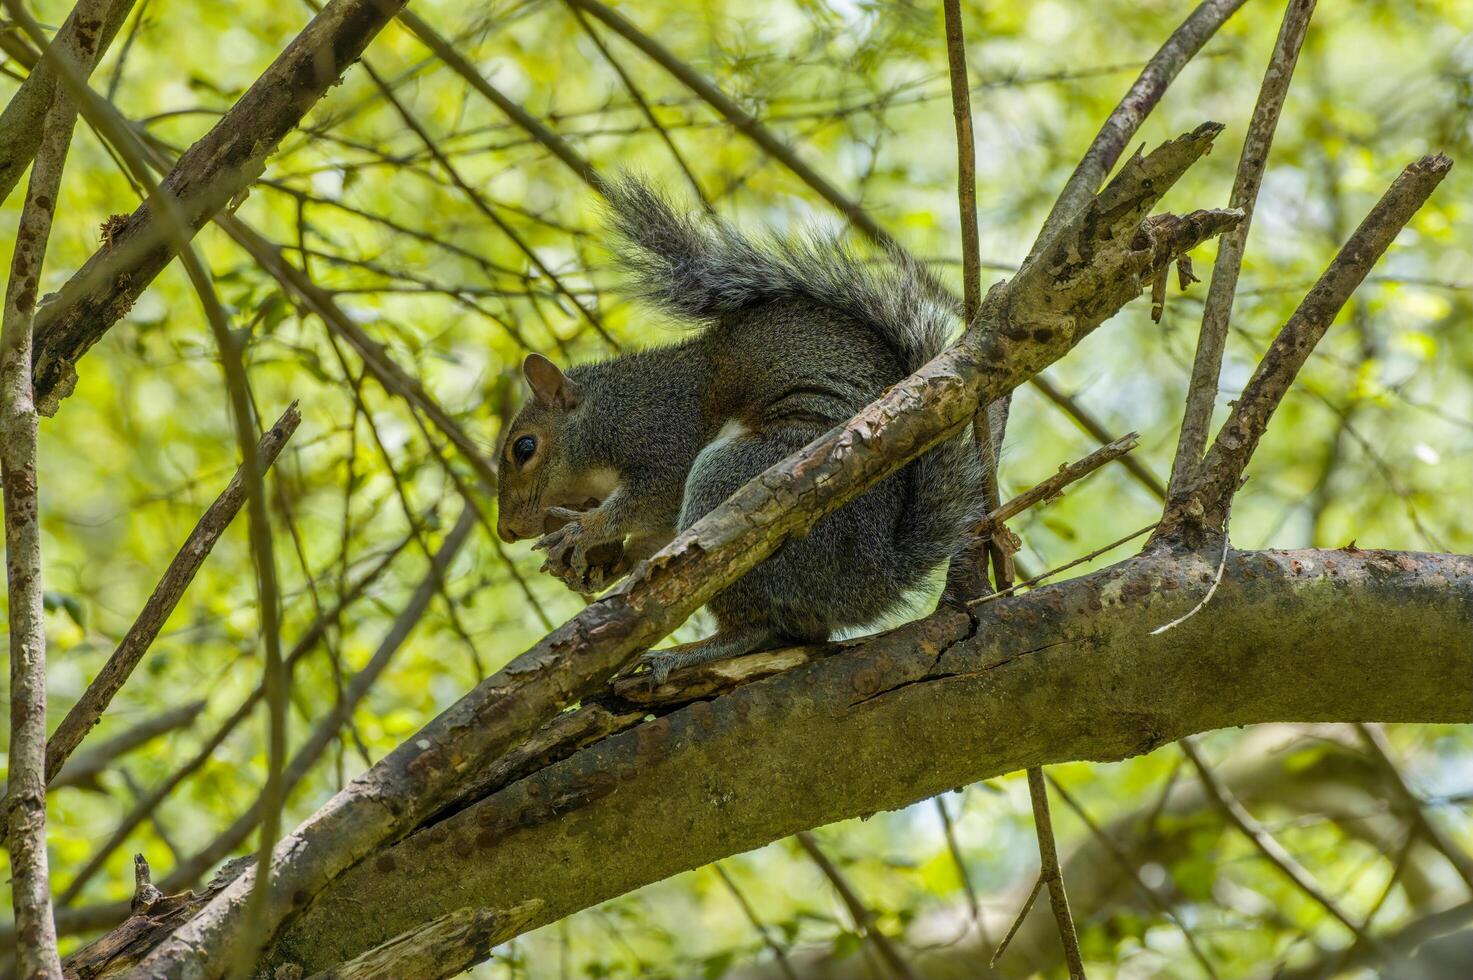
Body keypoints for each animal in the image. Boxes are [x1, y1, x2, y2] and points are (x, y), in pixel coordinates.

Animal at [491, 177, 989, 680]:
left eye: (524, 448)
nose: (507, 531)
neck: (606, 412)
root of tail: (868, 577)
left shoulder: (664, 436)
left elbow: (649, 498)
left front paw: (585, 530)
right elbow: (657, 539)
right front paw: (605, 567)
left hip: (733, 477)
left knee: (756, 625)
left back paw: (688, 653)